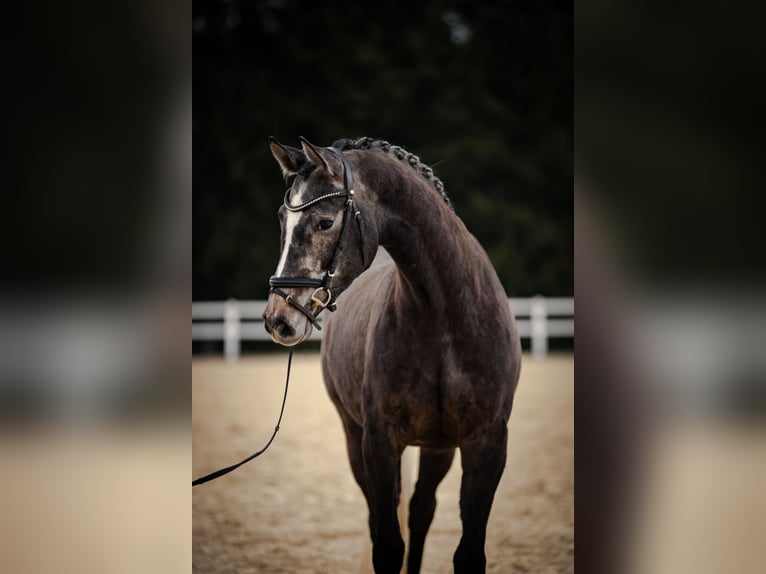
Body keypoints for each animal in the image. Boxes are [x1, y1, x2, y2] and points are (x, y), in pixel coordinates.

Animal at [262, 136, 520, 574]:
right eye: (283, 220)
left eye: (324, 222)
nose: (278, 319)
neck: (442, 319)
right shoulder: (379, 444)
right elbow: (386, 546)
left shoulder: (487, 444)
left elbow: (467, 552)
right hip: (355, 437)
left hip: (438, 448)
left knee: (420, 510)